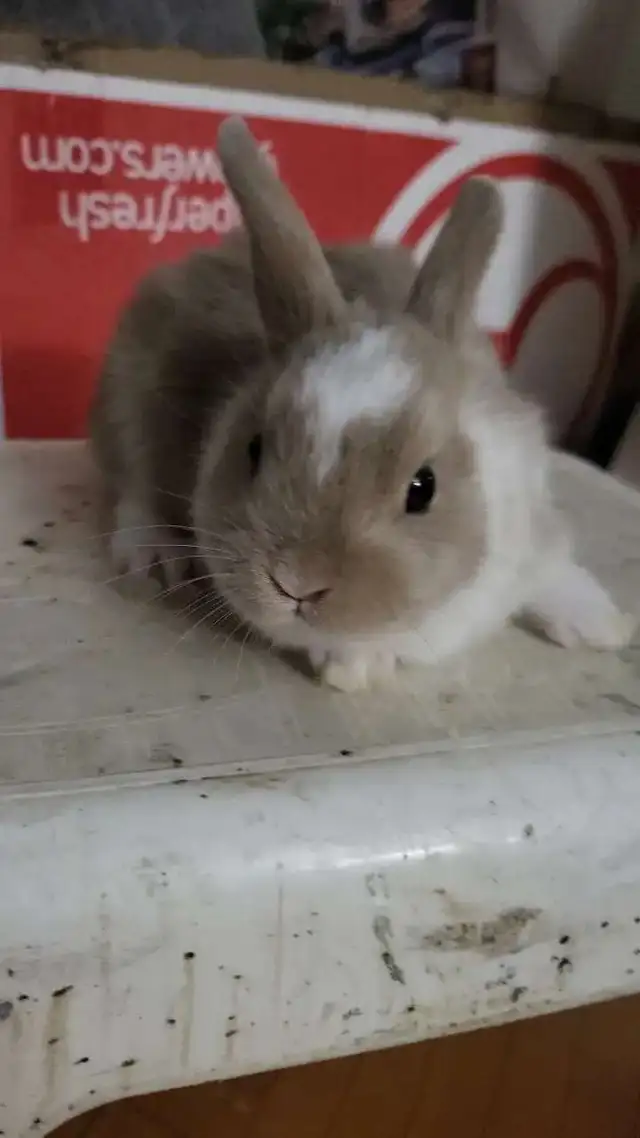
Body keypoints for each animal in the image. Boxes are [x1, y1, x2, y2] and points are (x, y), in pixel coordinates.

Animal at [90, 116, 635, 691]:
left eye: (423, 488)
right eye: (254, 449)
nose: (296, 581)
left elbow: (554, 565)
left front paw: (603, 625)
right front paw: (353, 666)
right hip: (126, 392)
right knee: (133, 488)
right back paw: (154, 553)